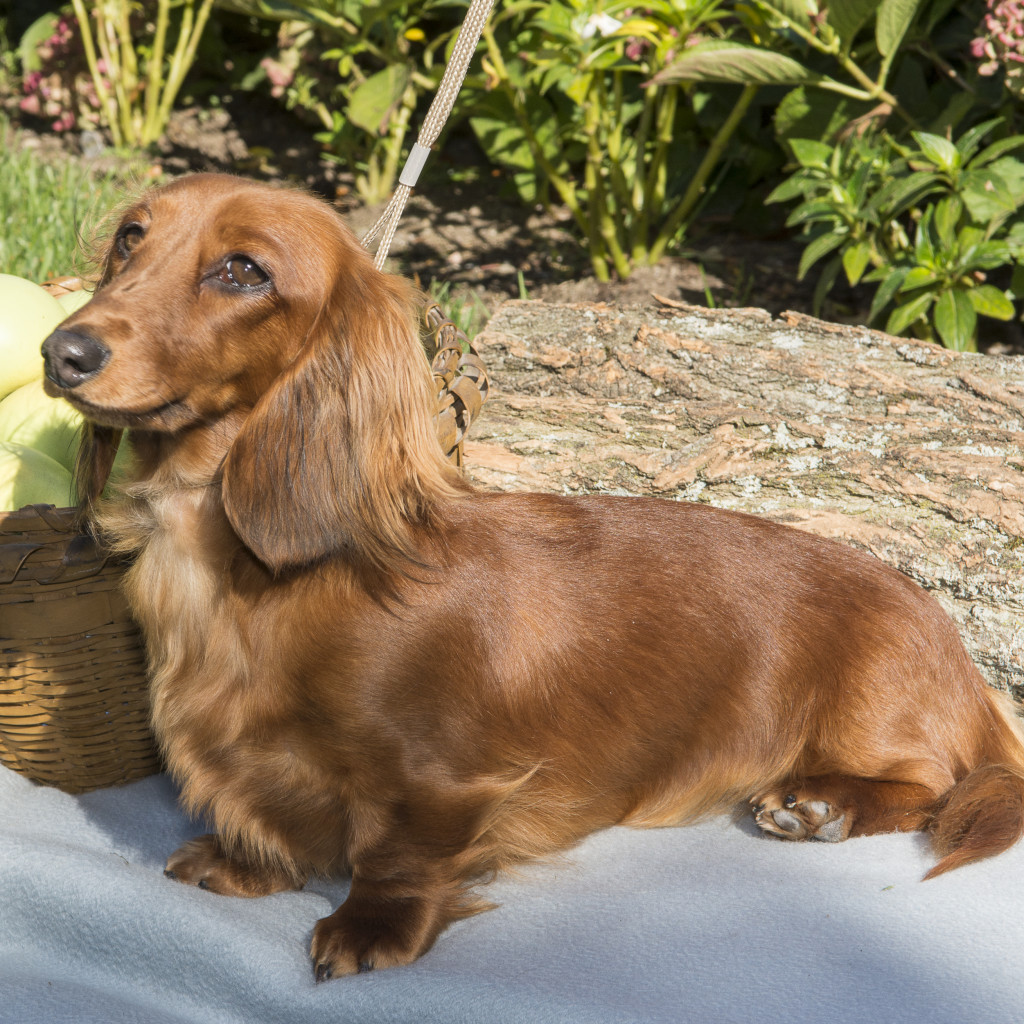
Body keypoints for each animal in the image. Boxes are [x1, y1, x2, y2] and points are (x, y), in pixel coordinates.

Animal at [41, 172, 1024, 978]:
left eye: (243, 271)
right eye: (130, 237)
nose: (63, 352)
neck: (242, 577)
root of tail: (957, 654)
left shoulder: (439, 781)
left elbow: (395, 851)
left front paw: (370, 928)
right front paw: (244, 865)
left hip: (873, 713)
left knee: (932, 784)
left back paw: (819, 805)